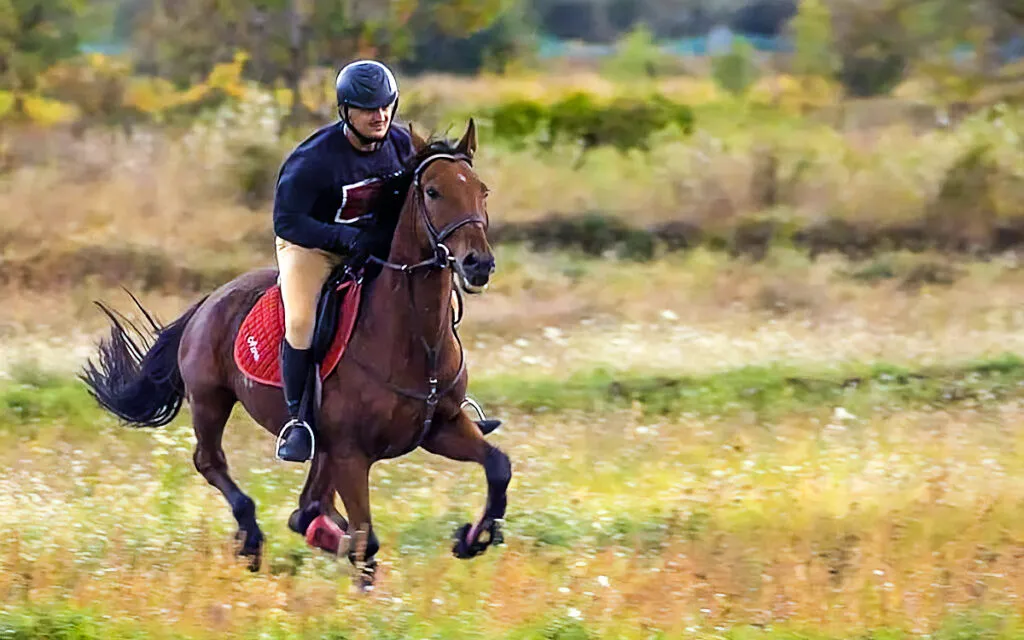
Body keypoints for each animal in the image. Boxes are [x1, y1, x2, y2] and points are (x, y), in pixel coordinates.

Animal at [80, 120, 510, 588]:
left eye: (483, 190)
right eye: (432, 191)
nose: (478, 264)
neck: (416, 339)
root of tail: (211, 299)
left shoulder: (441, 428)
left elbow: (498, 466)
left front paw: (472, 538)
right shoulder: (351, 454)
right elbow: (366, 540)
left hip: (318, 444)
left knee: (307, 508)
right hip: (212, 400)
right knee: (211, 461)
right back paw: (251, 538)